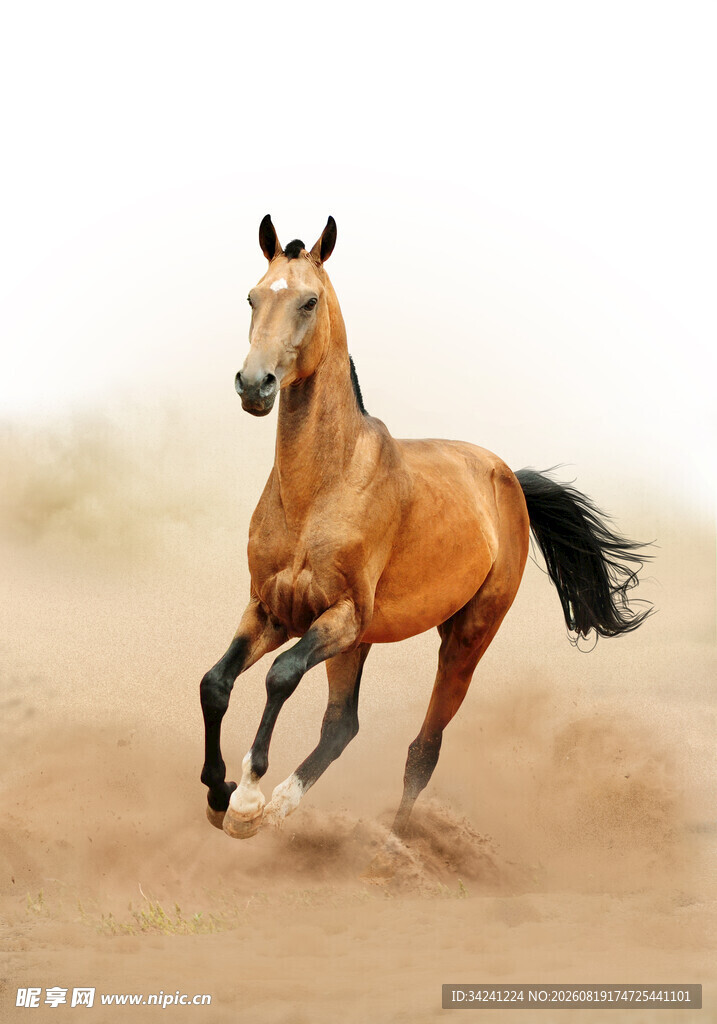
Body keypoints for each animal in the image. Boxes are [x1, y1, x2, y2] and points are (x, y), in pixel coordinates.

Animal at [200, 215, 650, 840]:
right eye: (253, 296)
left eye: (309, 301)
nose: (254, 385)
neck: (319, 491)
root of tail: (508, 477)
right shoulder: (271, 608)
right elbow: (216, 683)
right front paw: (219, 794)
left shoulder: (338, 616)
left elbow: (281, 677)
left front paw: (246, 798)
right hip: (360, 641)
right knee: (342, 725)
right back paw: (289, 804)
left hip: (464, 638)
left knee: (423, 748)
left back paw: (393, 837)